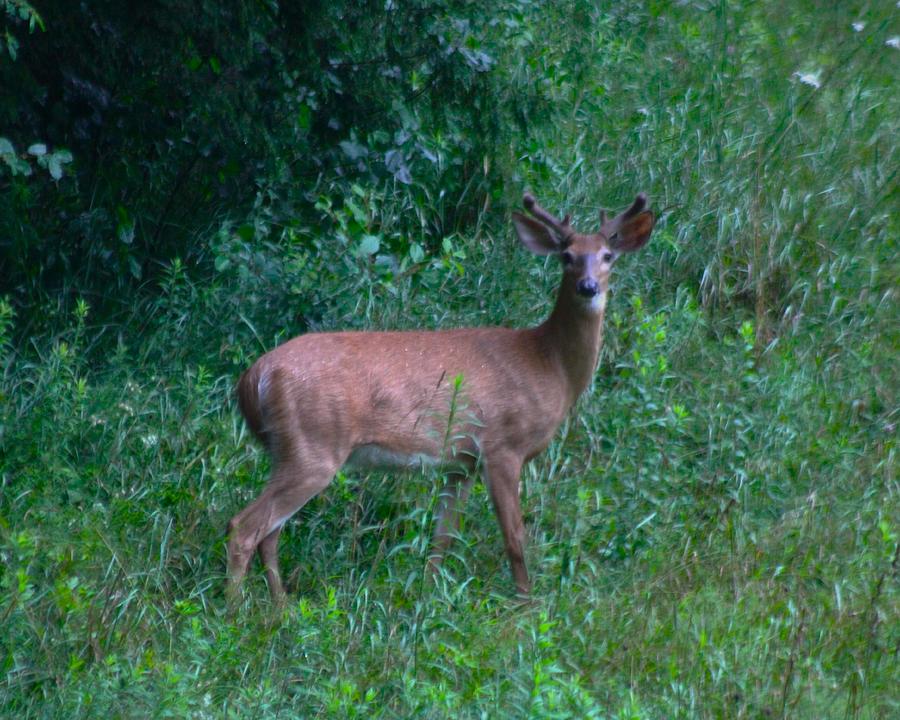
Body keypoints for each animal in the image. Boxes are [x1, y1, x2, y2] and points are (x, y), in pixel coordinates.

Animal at [227, 191, 652, 600]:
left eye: (608, 256)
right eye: (566, 256)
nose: (588, 287)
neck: (548, 364)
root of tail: (254, 376)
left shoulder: (460, 463)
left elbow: (442, 538)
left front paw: (428, 598)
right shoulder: (502, 446)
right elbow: (515, 538)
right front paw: (526, 604)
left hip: (288, 450)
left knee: (269, 533)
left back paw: (280, 607)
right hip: (313, 445)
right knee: (244, 527)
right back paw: (237, 613)